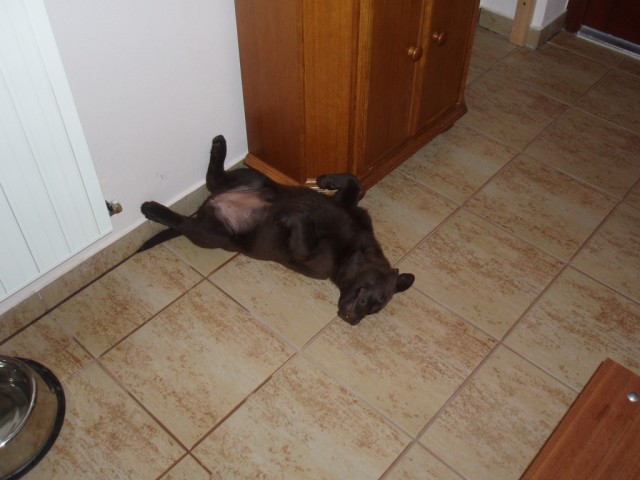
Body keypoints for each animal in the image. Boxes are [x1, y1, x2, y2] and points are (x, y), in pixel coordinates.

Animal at [140, 135, 414, 325]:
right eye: (376, 302)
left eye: (375, 309)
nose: (353, 321)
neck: (354, 249)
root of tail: (210, 204)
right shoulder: (345, 205)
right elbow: (354, 180)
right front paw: (324, 180)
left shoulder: (306, 254)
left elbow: (303, 228)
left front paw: (289, 216)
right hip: (254, 178)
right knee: (212, 182)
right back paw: (218, 148)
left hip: (213, 233)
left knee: (187, 220)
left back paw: (153, 209)